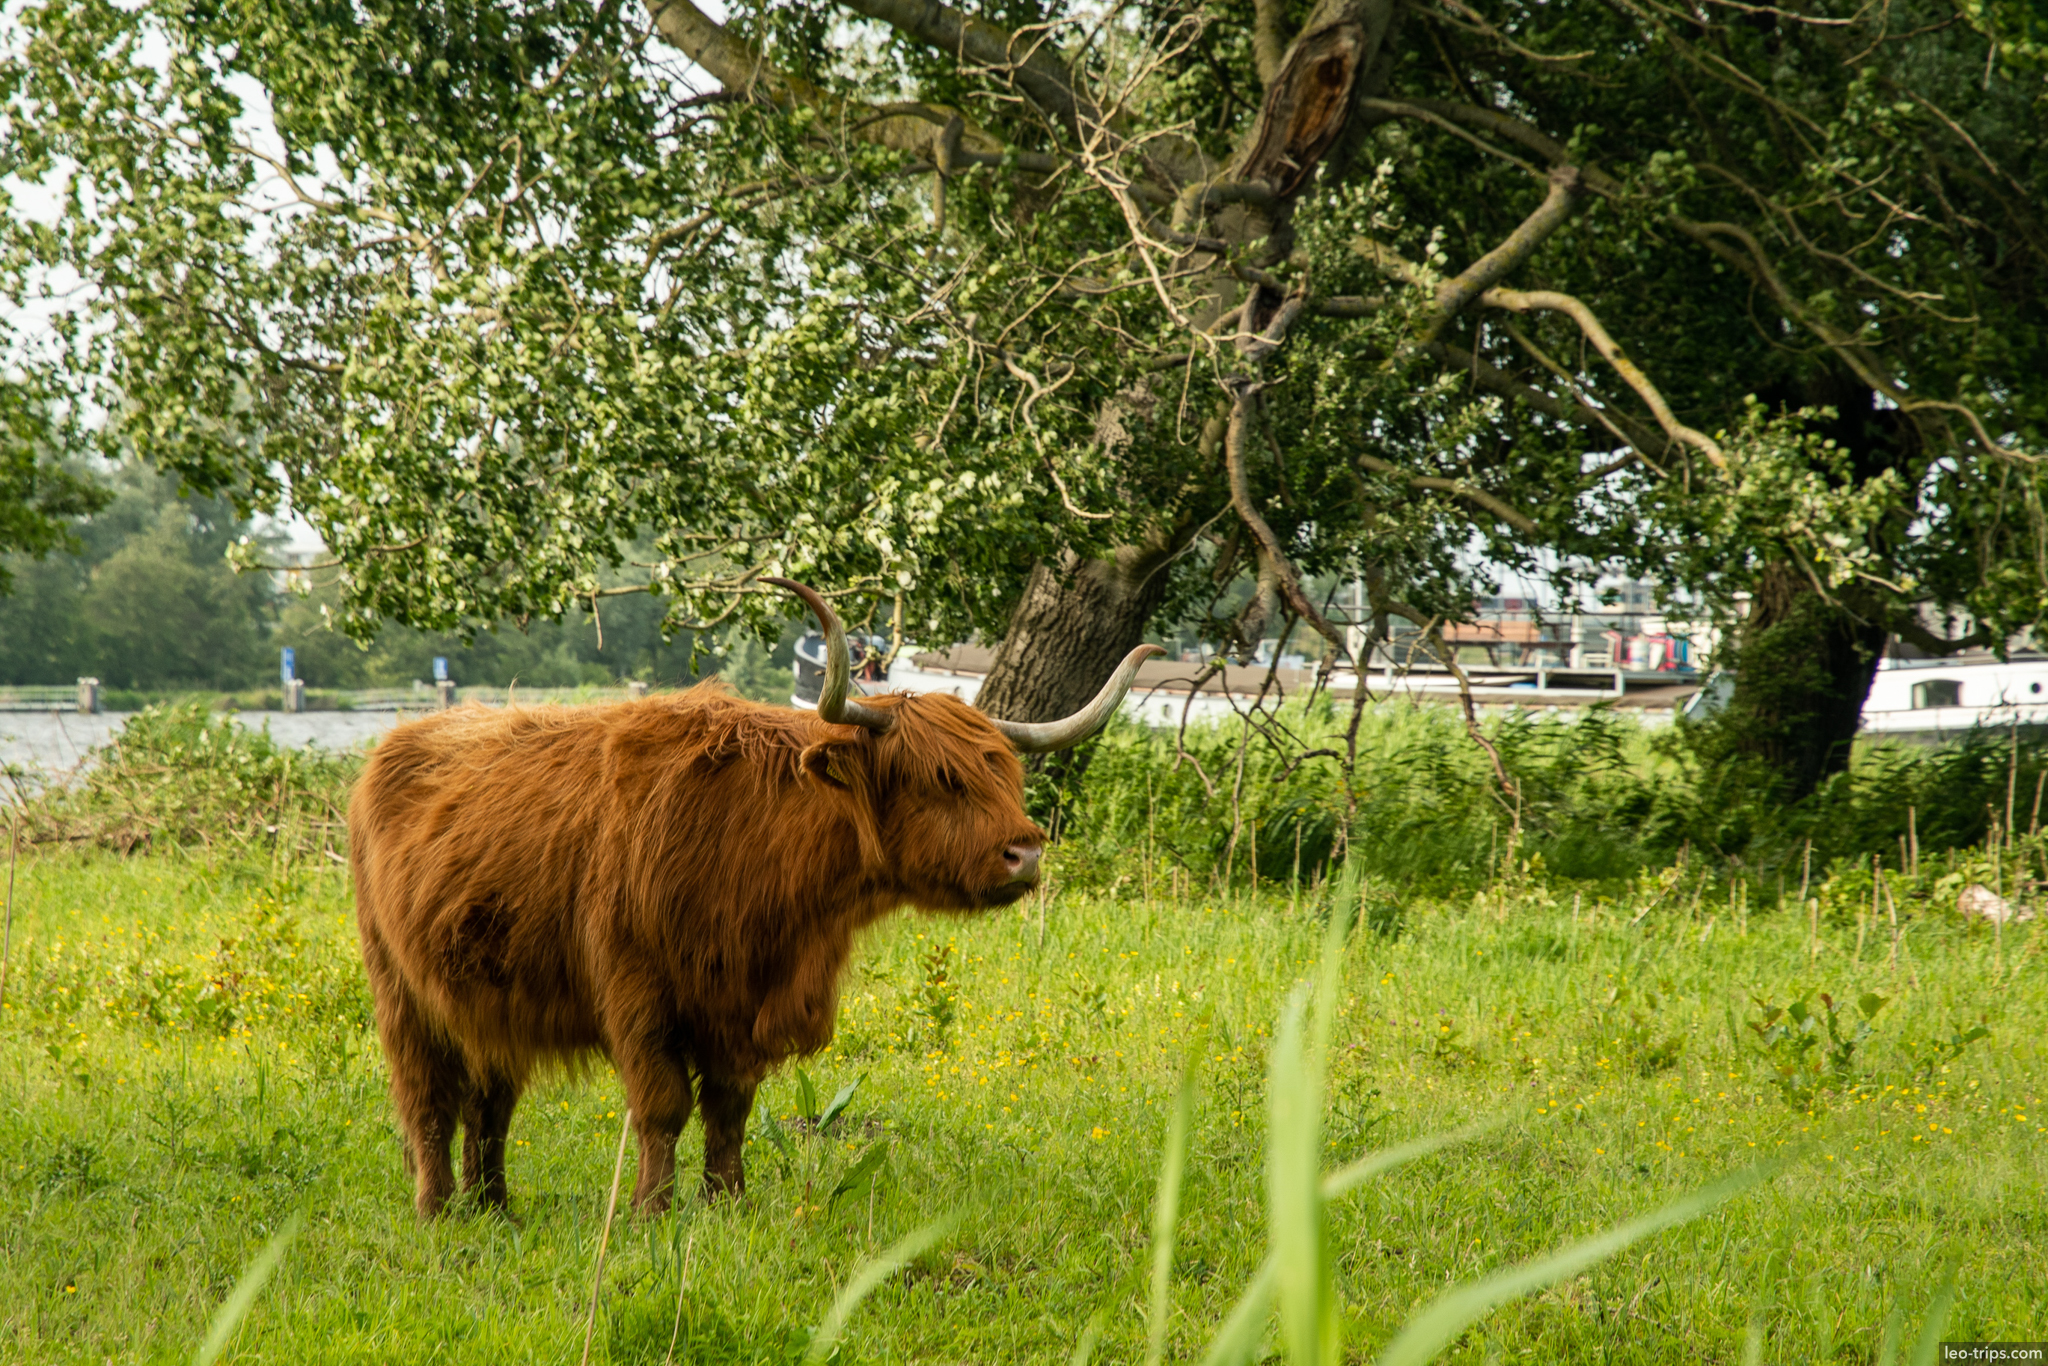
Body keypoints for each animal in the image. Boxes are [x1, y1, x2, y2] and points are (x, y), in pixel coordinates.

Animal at [349, 579, 1162, 1217]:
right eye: (941, 778)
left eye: (1005, 774)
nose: (1026, 853)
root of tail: (396, 744)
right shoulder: (637, 990)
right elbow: (663, 1106)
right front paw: (652, 1210)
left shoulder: (742, 1003)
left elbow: (729, 1108)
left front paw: (726, 1201)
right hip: (401, 990)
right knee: (427, 1100)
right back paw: (437, 1210)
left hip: (486, 997)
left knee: (489, 1102)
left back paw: (496, 1206)